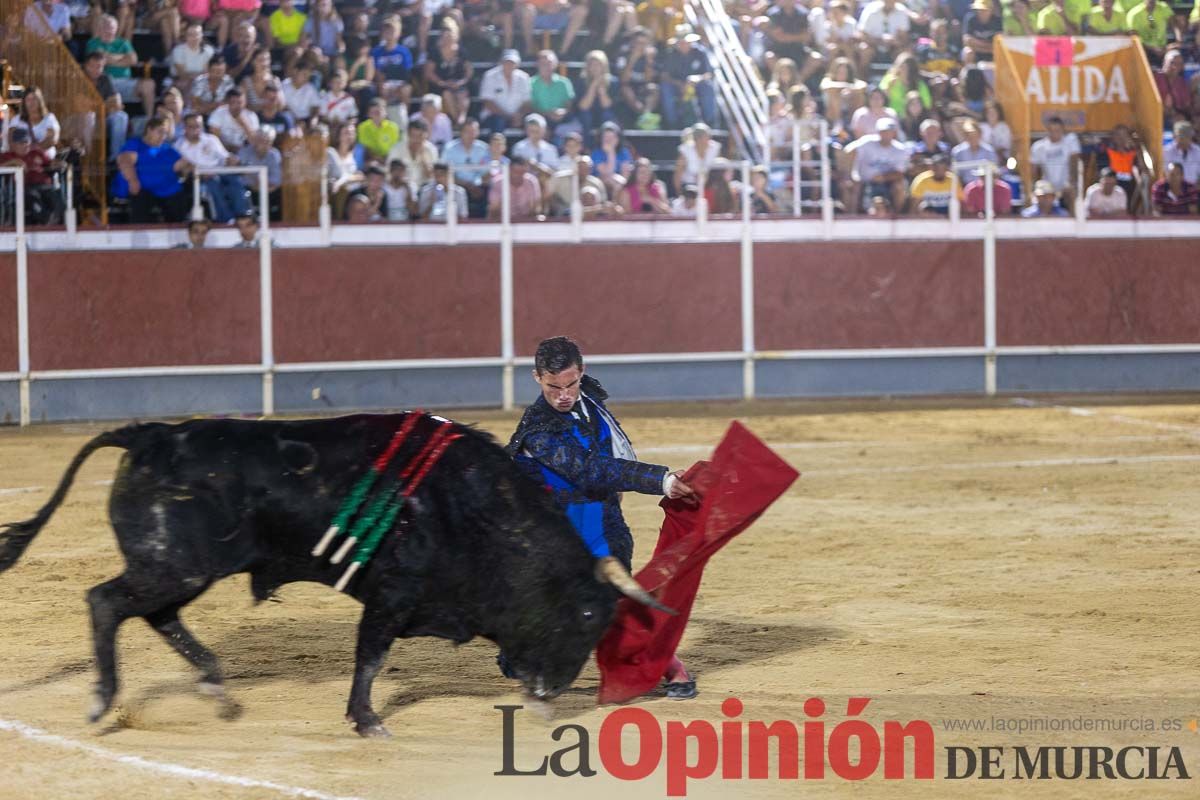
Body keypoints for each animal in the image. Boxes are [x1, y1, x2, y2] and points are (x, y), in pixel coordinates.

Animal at [0, 417, 667, 734]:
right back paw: (102, 700)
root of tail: (151, 434)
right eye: (587, 614)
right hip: (174, 566)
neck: (474, 508)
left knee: (156, 615)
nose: (555, 693)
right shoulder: (392, 592)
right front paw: (368, 721)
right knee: (106, 601)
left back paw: (217, 688)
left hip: (176, 570)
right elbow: (370, 655)